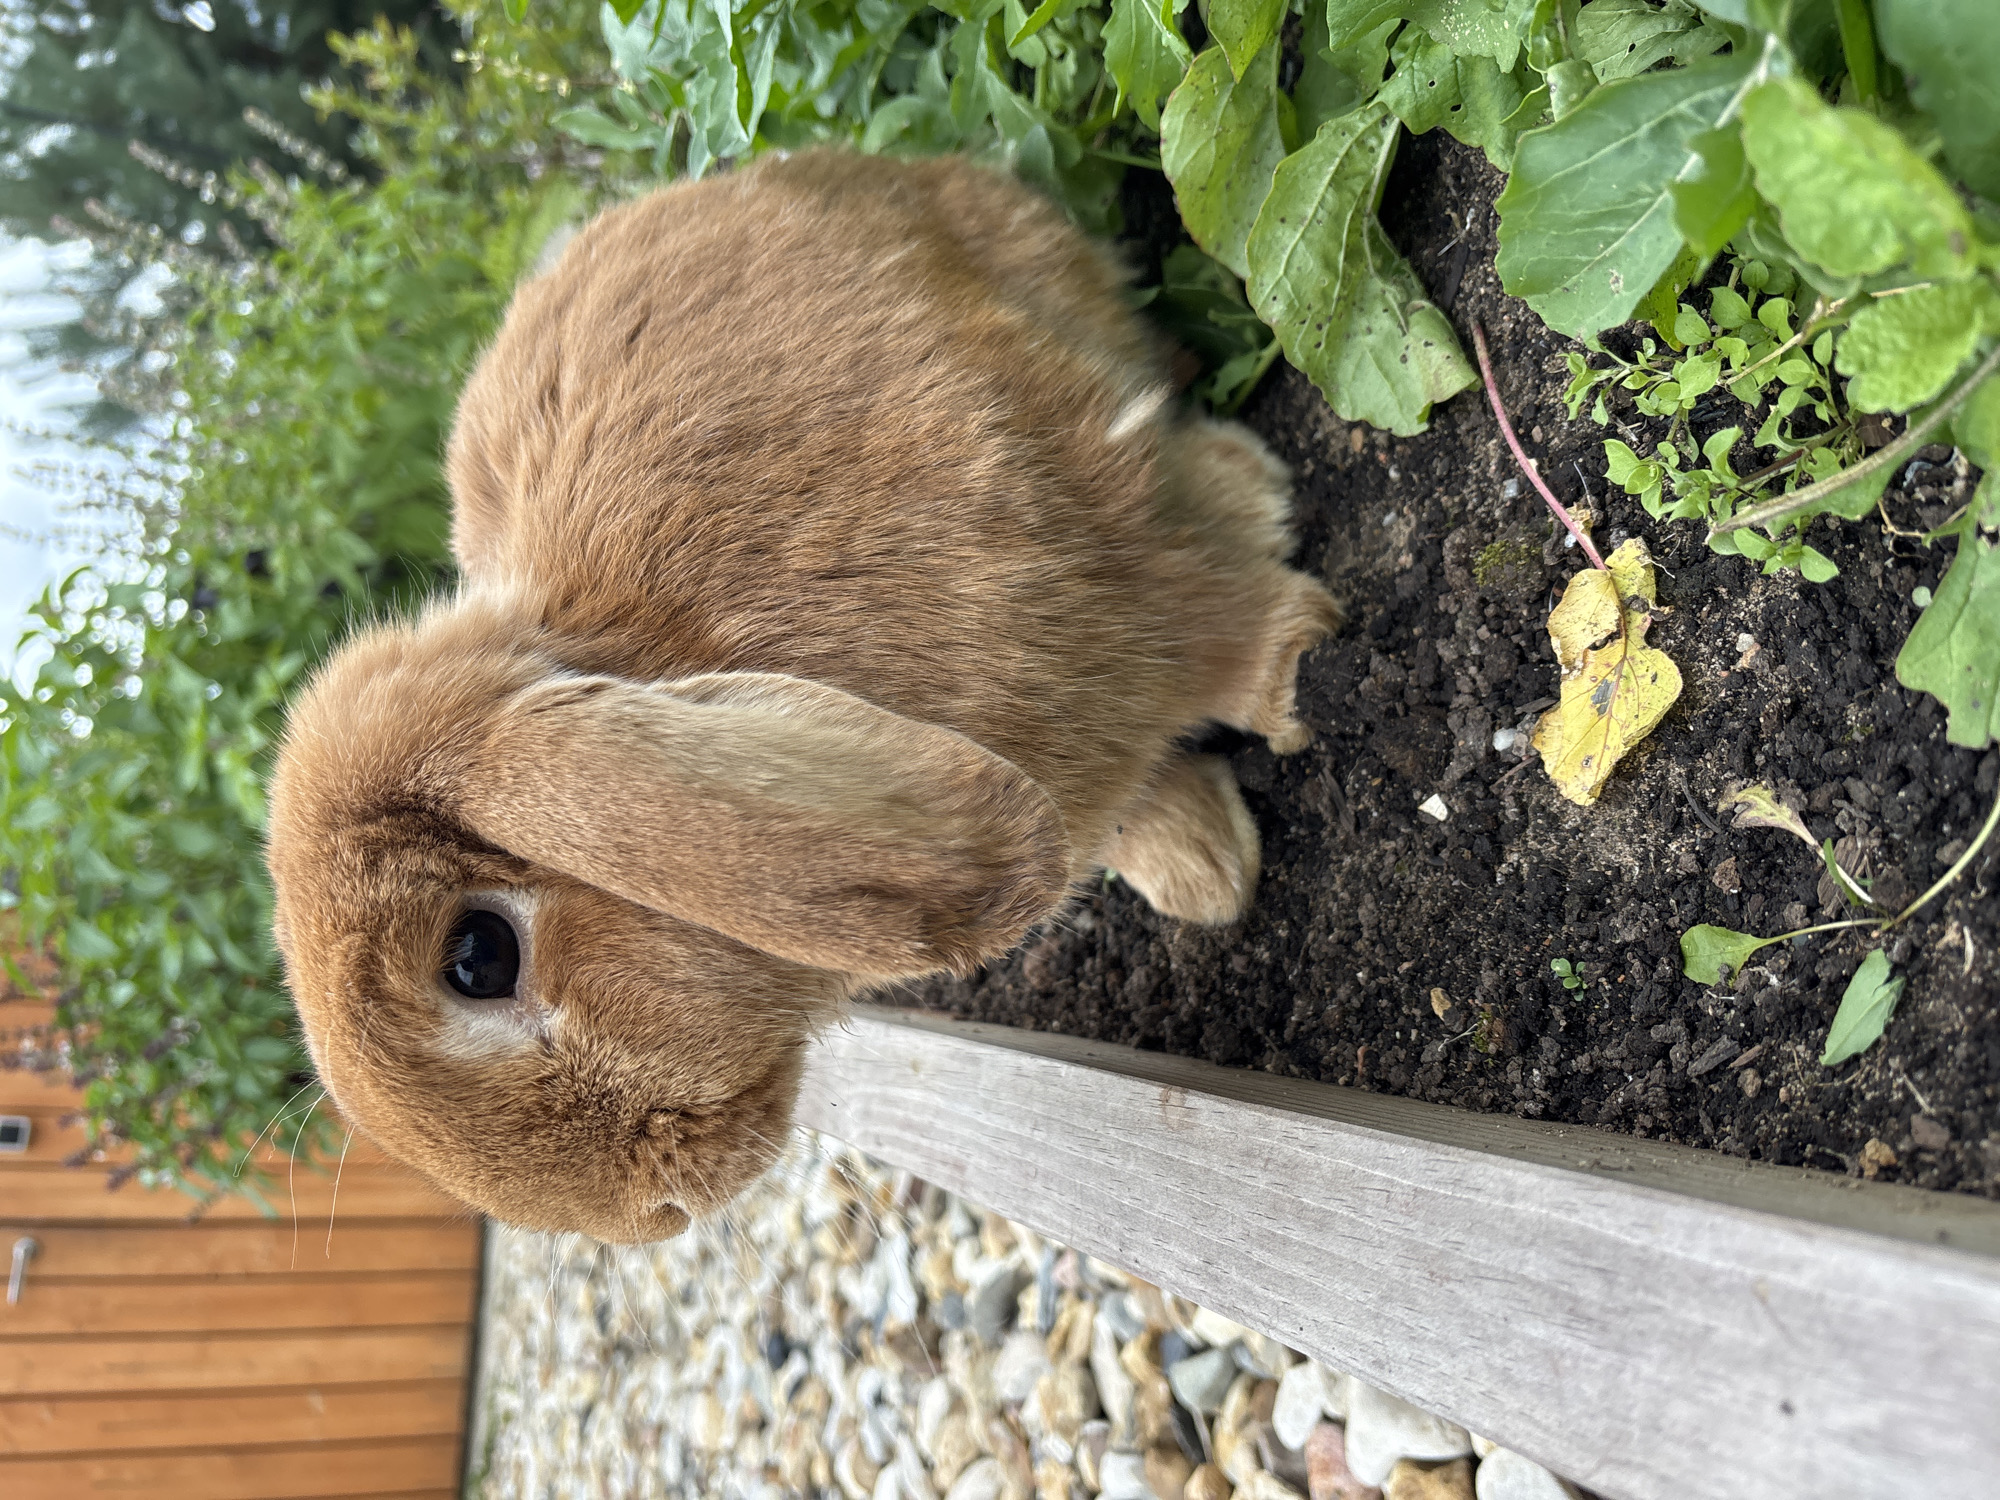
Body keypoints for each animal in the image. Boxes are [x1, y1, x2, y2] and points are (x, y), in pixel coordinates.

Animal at [265, 149, 1340, 1245]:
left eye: (478, 957)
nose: (655, 1214)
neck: (656, 652)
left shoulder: (1094, 552)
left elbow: (1207, 621)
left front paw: (1293, 670)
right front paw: (1205, 872)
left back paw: (1249, 486)